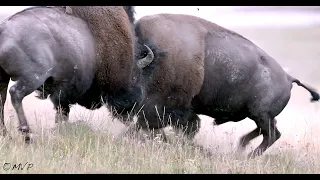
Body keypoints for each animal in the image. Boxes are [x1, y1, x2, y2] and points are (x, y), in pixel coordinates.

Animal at [0, 5, 154, 142]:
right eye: (135, 78)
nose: (133, 110)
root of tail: (4, 30)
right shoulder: (63, 91)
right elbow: (62, 113)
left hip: (4, 78)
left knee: (2, 100)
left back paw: (6, 135)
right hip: (33, 77)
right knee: (16, 93)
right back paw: (27, 134)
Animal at [129, 13, 318, 158]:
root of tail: (288, 78)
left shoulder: (162, 109)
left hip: (260, 114)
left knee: (272, 135)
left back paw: (247, 156)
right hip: (259, 115)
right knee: (268, 130)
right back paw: (241, 146)